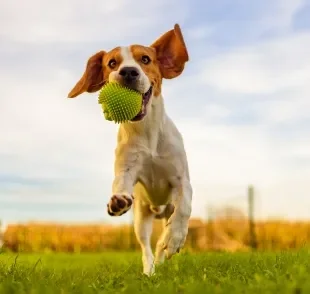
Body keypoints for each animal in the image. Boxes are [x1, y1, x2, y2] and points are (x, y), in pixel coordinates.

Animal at [68, 23, 191, 276]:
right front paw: (118, 200)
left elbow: (184, 207)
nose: (128, 72)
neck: (147, 133)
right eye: (112, 63)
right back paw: (150, 271)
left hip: (166, 209)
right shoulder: (126, 169)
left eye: (145, 59)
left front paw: (174, 238)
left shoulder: (182, 180)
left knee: (163, 237)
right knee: (147, 249)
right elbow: (120, 183)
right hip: (141, 219)